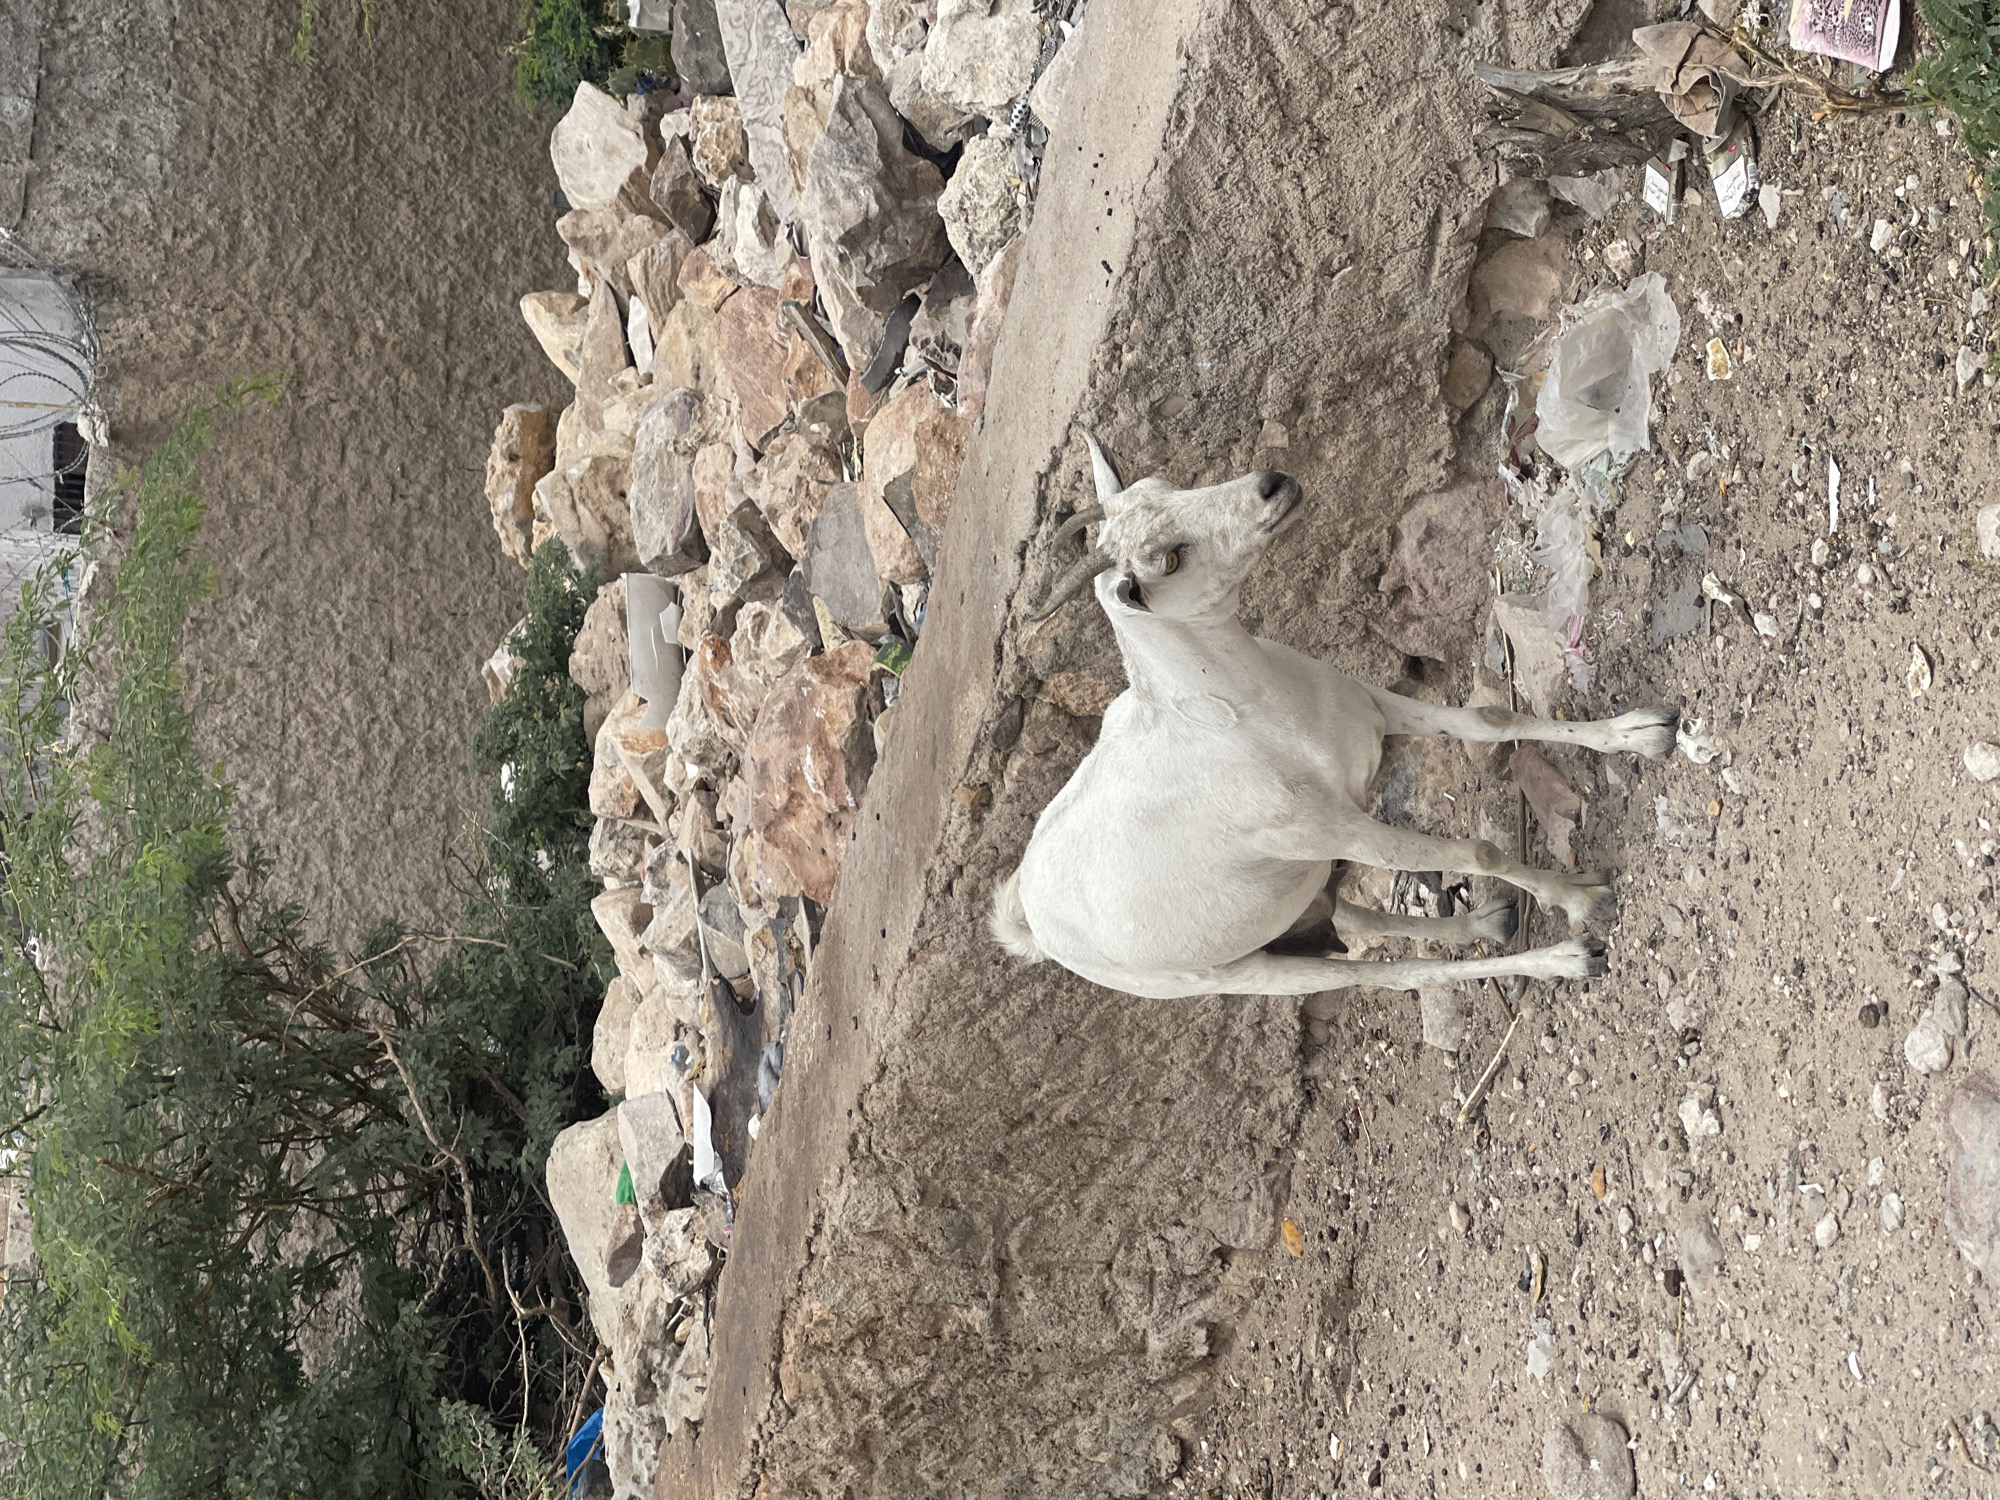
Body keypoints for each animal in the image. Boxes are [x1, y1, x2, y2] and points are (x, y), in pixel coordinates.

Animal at [989, 436, 1677, 1001]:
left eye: (1163, 483)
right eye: (1168, 559)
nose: (1272, 485)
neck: (1244, 718)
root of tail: (1032, 925)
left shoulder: (1370, 707)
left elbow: (1489, 721)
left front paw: (1642, 731)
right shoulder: (1334, 830)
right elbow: (1478, 851)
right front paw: (1580, 901)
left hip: (1290, 902)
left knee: (1352, 917)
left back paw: (1486, 920)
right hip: (1237, 968)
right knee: (1385, 973)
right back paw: (1559, 958)